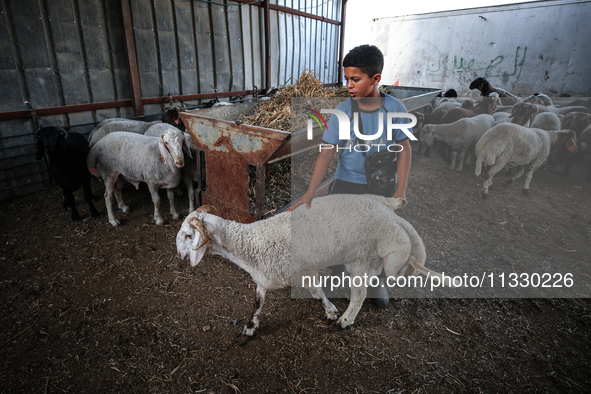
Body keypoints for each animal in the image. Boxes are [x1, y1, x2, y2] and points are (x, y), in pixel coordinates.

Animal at [176, 195, 454, 344]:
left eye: (189, 235)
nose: (178, 254)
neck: (250, 243)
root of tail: (393, 219)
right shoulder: (273, 275)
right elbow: (265, 302)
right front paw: (250, 328)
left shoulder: (291, 272)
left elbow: (307, 294)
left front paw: (332, 313)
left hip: (361, 257)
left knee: (360, 295)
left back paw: (345, 321)